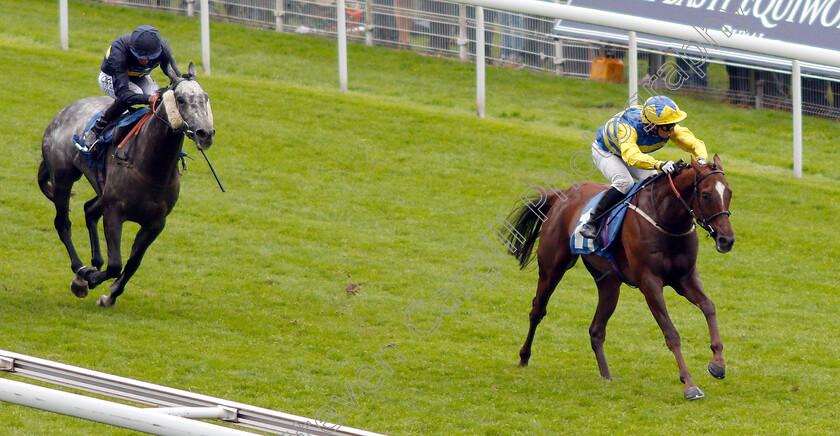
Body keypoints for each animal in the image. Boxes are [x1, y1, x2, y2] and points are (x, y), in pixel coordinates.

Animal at [40, 63, 217, 306]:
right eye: (180, 99)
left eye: (205, 98)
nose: (205, 133)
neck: (152, 169)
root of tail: (63, 112)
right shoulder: (114, 211)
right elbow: (116, 264)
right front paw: (90, 278)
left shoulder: (156, 223)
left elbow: (133, 263)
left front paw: (110, 295)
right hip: (63, 178)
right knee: (63, 223)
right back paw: (80, 271)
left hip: (101, 188)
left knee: (89, 210)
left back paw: (93, 262)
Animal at [506, 156, 736, 398]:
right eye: (706, 194)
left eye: (729, 192)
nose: (727, 240)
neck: (666, 218)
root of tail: (562, 194)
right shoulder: (649, 282)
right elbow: (671, 333)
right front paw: (690, 384)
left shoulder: (685, 278)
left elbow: (709, 307)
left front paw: (718, 364)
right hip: (552, 269)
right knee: (537, 311)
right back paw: (524, 358)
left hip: (608, 282)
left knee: (596, 330)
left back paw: (606, 376)